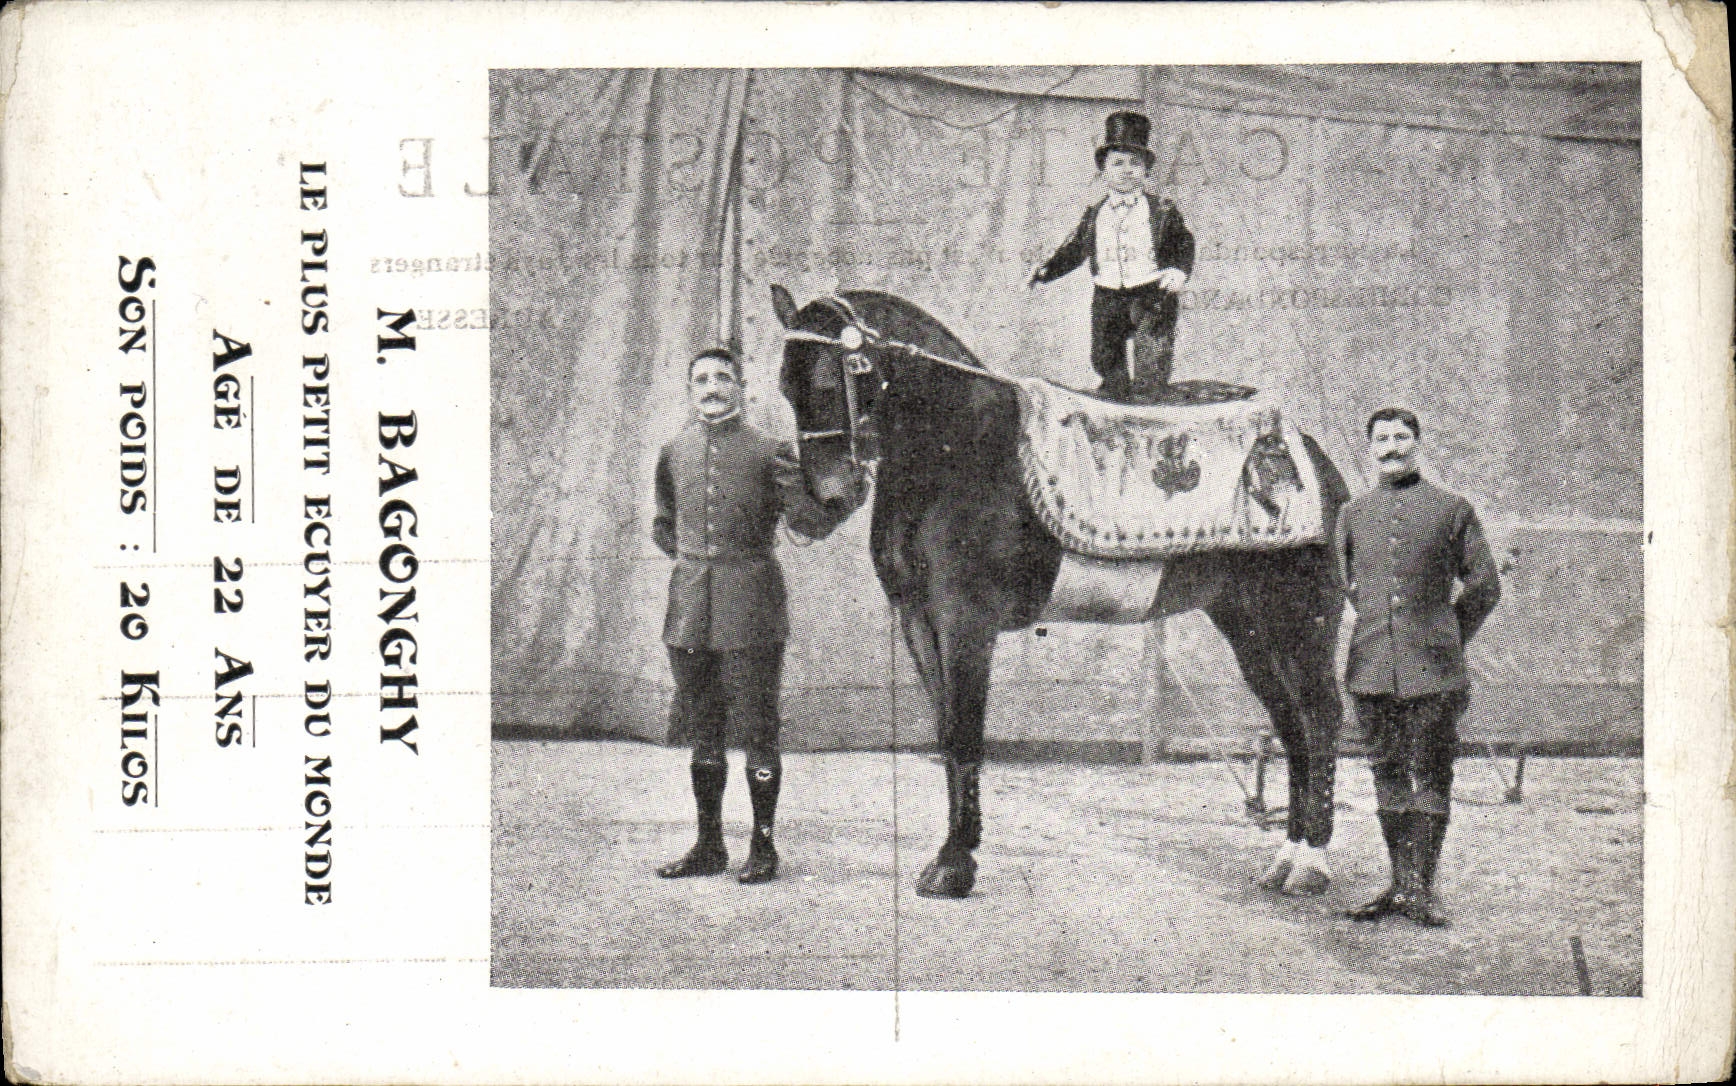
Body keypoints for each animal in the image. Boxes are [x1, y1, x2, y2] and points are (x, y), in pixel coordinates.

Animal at [772, 285, 1351, 899]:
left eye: (835, 380)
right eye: (786, 386)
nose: (825, 500)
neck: (958, 450)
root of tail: (1311, 457)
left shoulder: (965, 626)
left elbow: (966, 736)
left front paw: (956, 862)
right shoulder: (919, 625)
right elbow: (946, 734)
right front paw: (951, 855)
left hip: (1298, 621)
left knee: (1321, 714)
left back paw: (1311, 861)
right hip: (1247, 626)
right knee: (1291, 724)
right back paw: (1286, 856)